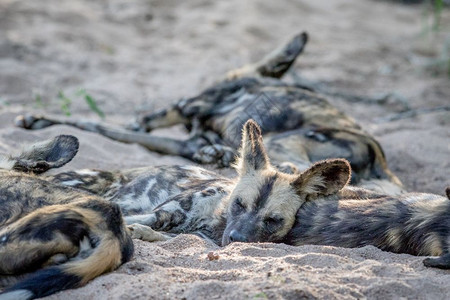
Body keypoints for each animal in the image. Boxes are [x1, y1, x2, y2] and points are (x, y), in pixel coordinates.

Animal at [15, 31, 404, 195]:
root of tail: (380, 162)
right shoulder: (184, 140)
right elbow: (103, 126)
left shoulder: (186, 108)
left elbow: (96, 122)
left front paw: (36, 118)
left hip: (287, 146)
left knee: (289, 173)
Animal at [44, 121, 450, 270]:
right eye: (239, 204)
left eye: (272, 221)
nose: (236, 237)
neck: (213, 218)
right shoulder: (168, 212)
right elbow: (138, 220)